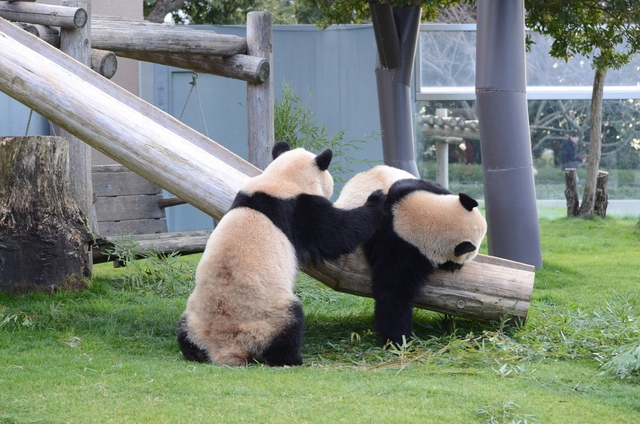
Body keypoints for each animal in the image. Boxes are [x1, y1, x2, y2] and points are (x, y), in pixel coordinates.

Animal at [176, 142, 384, 364]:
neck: (280, 179)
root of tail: (224, 349)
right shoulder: (299, 210)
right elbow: (337, 233)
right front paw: (376, 200)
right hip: (268, 316)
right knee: (290, 324)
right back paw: (291, 358)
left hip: (194, 319)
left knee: (185, 334)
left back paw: (193, 352)